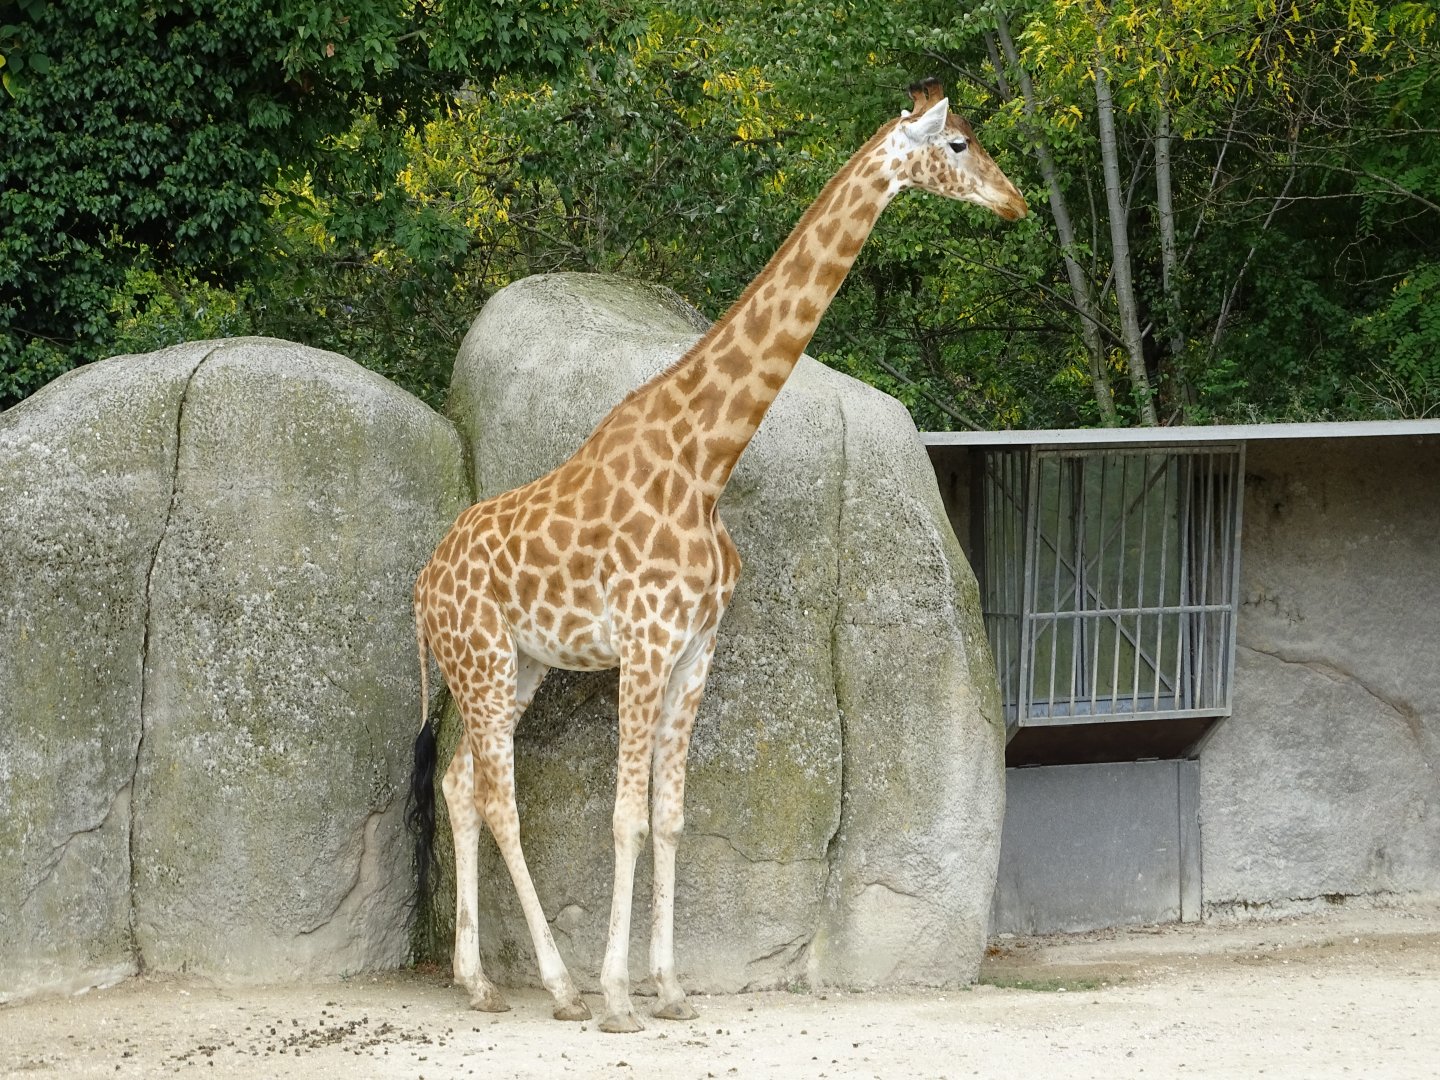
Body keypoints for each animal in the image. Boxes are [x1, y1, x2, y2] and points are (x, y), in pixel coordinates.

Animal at [406, 78, 1027, 1034]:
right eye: (958, 144)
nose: (1016, 201)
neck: (706, 462)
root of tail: (421, 583)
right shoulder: (644, 643)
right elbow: (623, 818)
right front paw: (619, 995)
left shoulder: (697, 648)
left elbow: (669, 818)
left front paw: (668, 989)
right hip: (479, 659)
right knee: (499, 799)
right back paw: (560, 987)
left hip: (518, 666)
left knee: (461, 784)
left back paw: (479, 982)